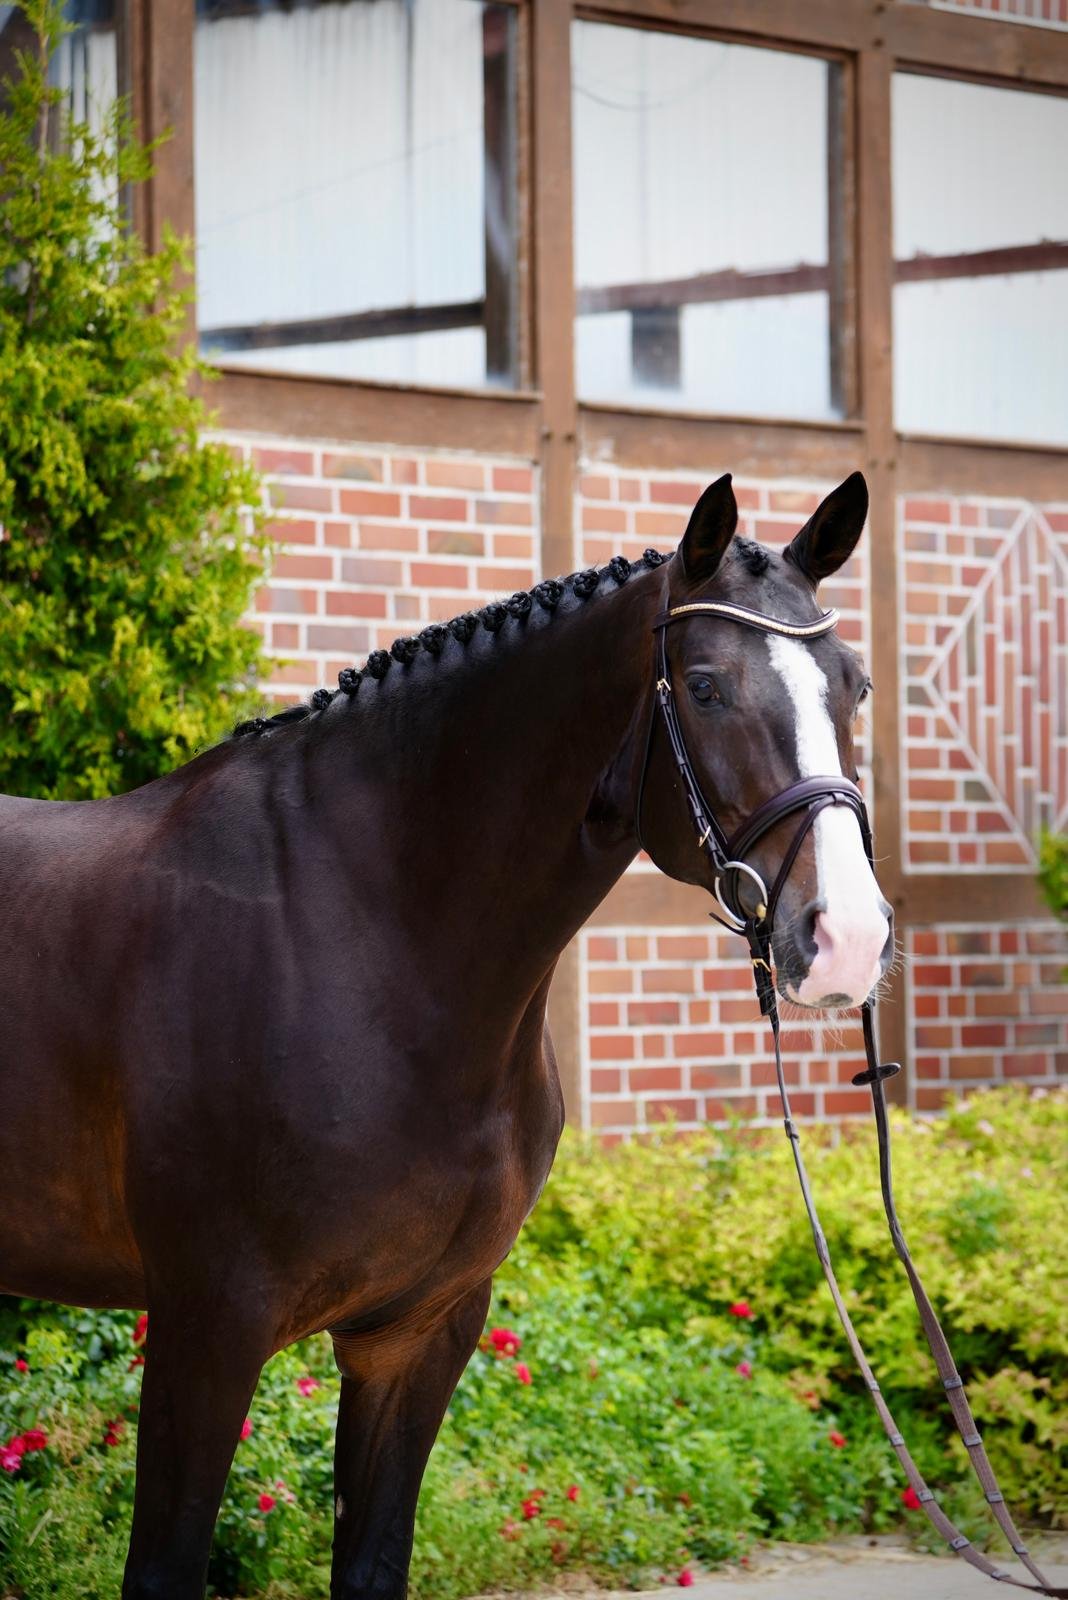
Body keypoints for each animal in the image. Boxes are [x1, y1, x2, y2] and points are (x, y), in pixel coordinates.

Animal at [0, 469, 892, 1599]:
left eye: (853, 686)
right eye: (703, 686)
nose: (848, 938)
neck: (365, 936)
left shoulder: (419, 1334)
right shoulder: (207, 1325)